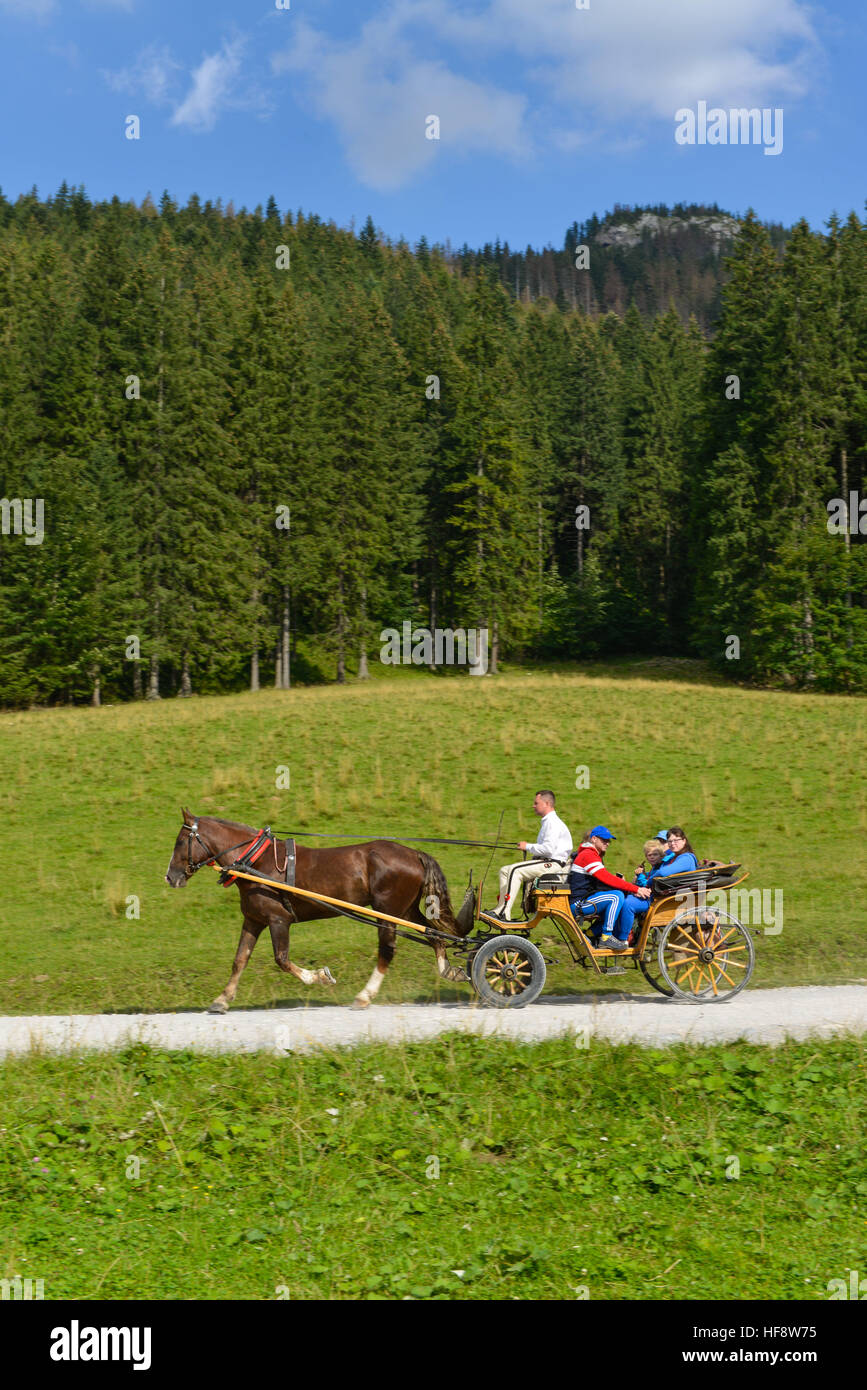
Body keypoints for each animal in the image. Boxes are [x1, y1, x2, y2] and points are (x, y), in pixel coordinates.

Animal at [165, 811, 469, 1017]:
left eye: (180, 842)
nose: (171, 877)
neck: (256, 863)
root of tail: (414, 853)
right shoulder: (254, 920)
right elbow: (240, 960)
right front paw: (222, 1000)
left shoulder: (278, 920)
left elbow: (282, 959)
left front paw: (320, 976)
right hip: (405, 910)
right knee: (434, 936)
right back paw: (450, 971)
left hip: (388, 912)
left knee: (387, 950)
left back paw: (364, 996)